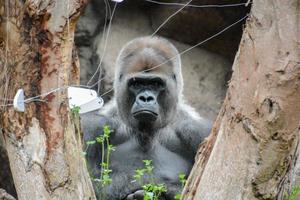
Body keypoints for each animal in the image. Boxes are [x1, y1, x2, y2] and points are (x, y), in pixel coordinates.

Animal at [79, 36, 211, 199]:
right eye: (137, 84)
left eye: (155, 83)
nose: (146, 98)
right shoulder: (92, 126)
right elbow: (88, 187)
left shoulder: (199, 131)